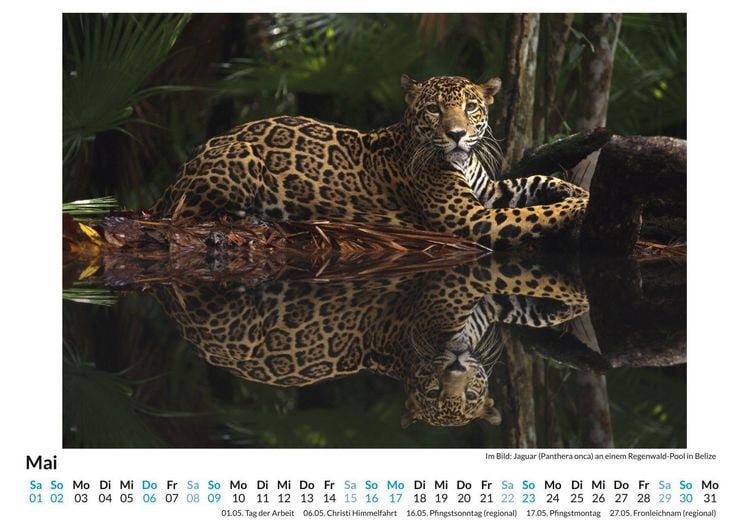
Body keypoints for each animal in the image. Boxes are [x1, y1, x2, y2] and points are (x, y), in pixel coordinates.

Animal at [154, 75, 589, 251]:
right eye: (433, 109)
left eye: (470, 107)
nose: (456, 134)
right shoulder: (469, 219)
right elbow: (536, 214)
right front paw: (580, 205)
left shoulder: (489, 193)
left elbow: (533, 181)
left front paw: (577, 189)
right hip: (239, 162)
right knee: (192, 211)